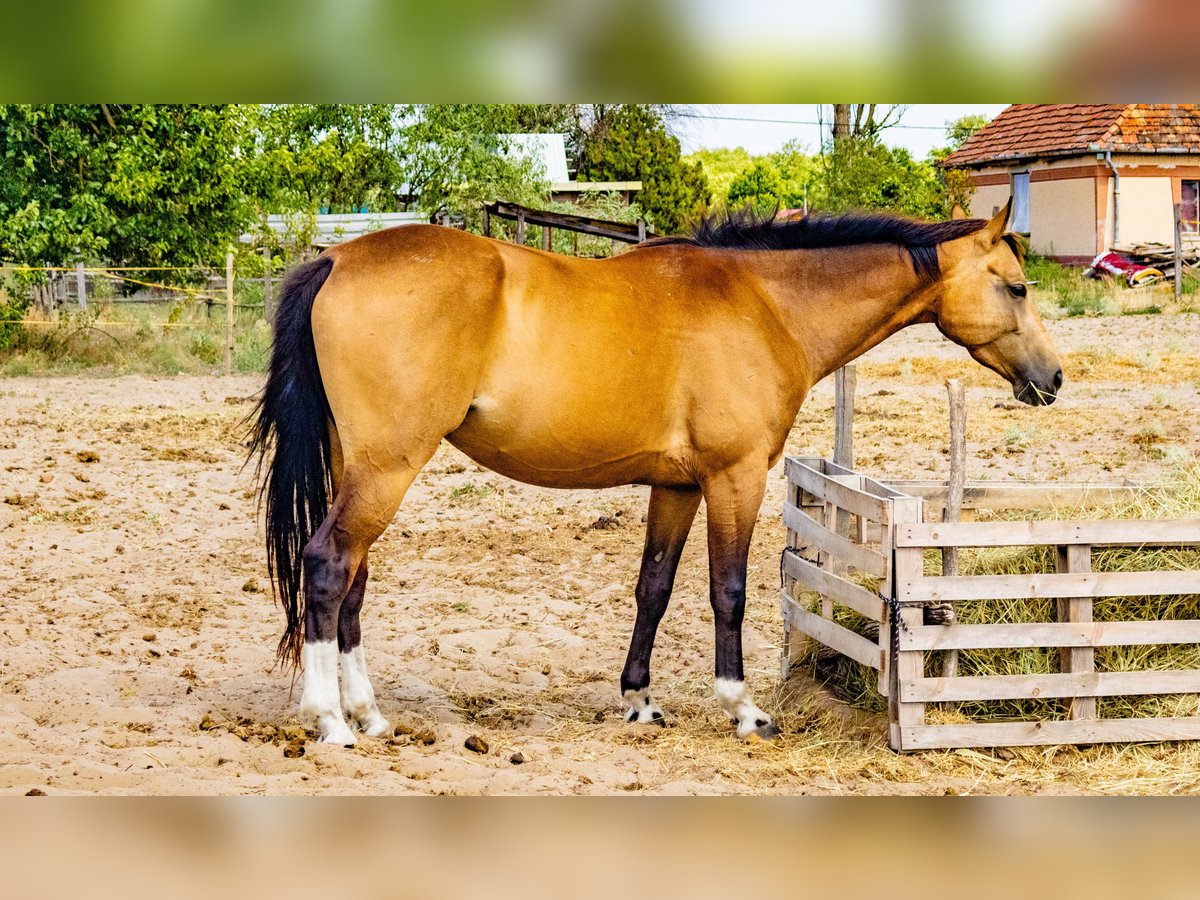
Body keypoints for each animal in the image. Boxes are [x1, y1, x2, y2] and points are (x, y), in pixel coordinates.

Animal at [251, 198, 1062, 745]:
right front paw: (743, 708)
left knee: (352, 581)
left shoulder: (674, 486)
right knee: (327, 565)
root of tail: (336, 258)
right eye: (1016, 286)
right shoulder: (735, 478)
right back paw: (330, 720)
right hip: (388, 468)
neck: (767, 302)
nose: (1053, 378)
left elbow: (655, 587)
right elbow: (727, 591)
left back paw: (368, 713)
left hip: (366, 469)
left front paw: (639, 700)